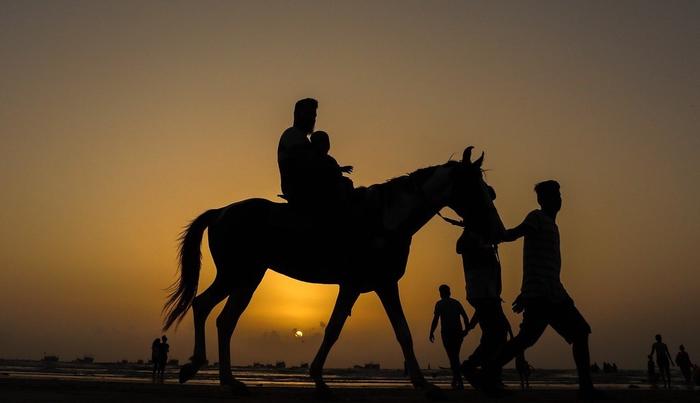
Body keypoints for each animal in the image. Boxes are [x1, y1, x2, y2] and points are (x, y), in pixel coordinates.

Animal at [164, 147, 504, 400]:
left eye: (488, 190)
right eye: (475, 188)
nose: (496, 230)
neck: (386, 219)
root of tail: (220, 212)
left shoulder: (384, 284)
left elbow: (403, 332)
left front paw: (424, 383)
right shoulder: (353, 284)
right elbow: (334, 329)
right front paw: (318, 378)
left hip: (245, 277)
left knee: (218, 315)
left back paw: (221, 377)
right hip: (239, 275)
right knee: (210, 310)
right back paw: (206, 371)